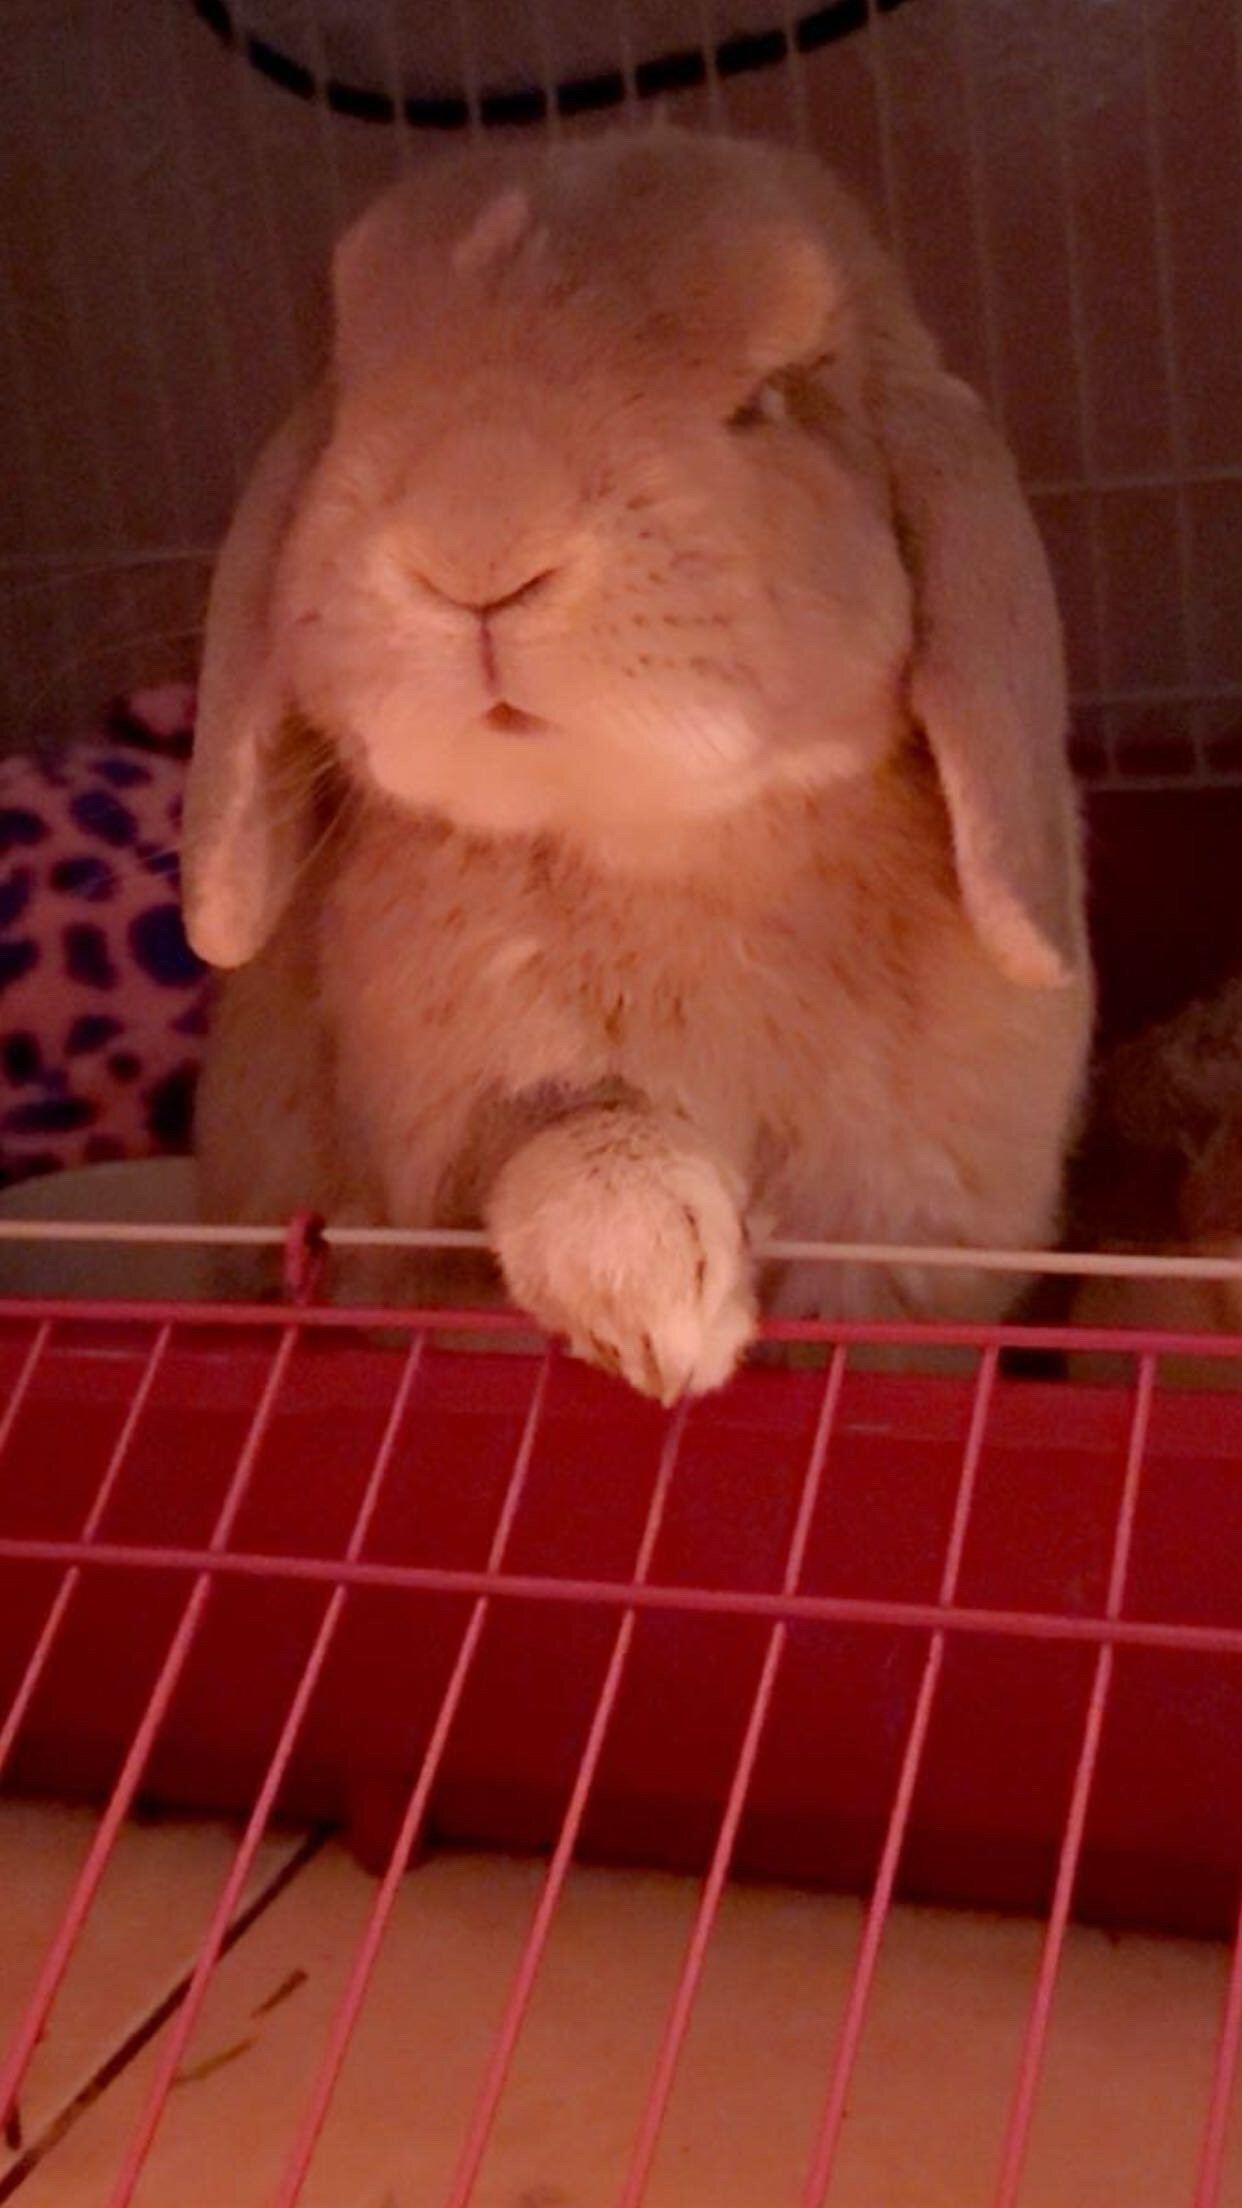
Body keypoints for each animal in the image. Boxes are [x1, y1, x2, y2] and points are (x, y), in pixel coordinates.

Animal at [184, 129, 1092, 1401]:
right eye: (353, 385)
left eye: (770, 400)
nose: (476, 538)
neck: (650, 850)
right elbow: (566, 1130)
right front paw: (661, 1309)